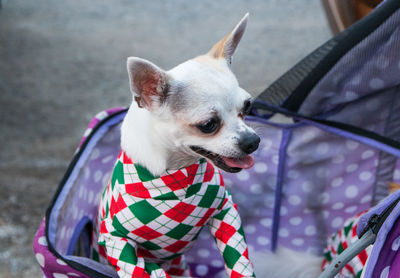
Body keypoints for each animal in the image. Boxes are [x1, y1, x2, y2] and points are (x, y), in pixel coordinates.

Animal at [95, 14, 260, 276]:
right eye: (208, 125)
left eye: (247, 106)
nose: (253, 141)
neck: (179, 179)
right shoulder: (115, 241)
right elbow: (140, 270)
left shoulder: (225, 212)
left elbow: (238, 259)